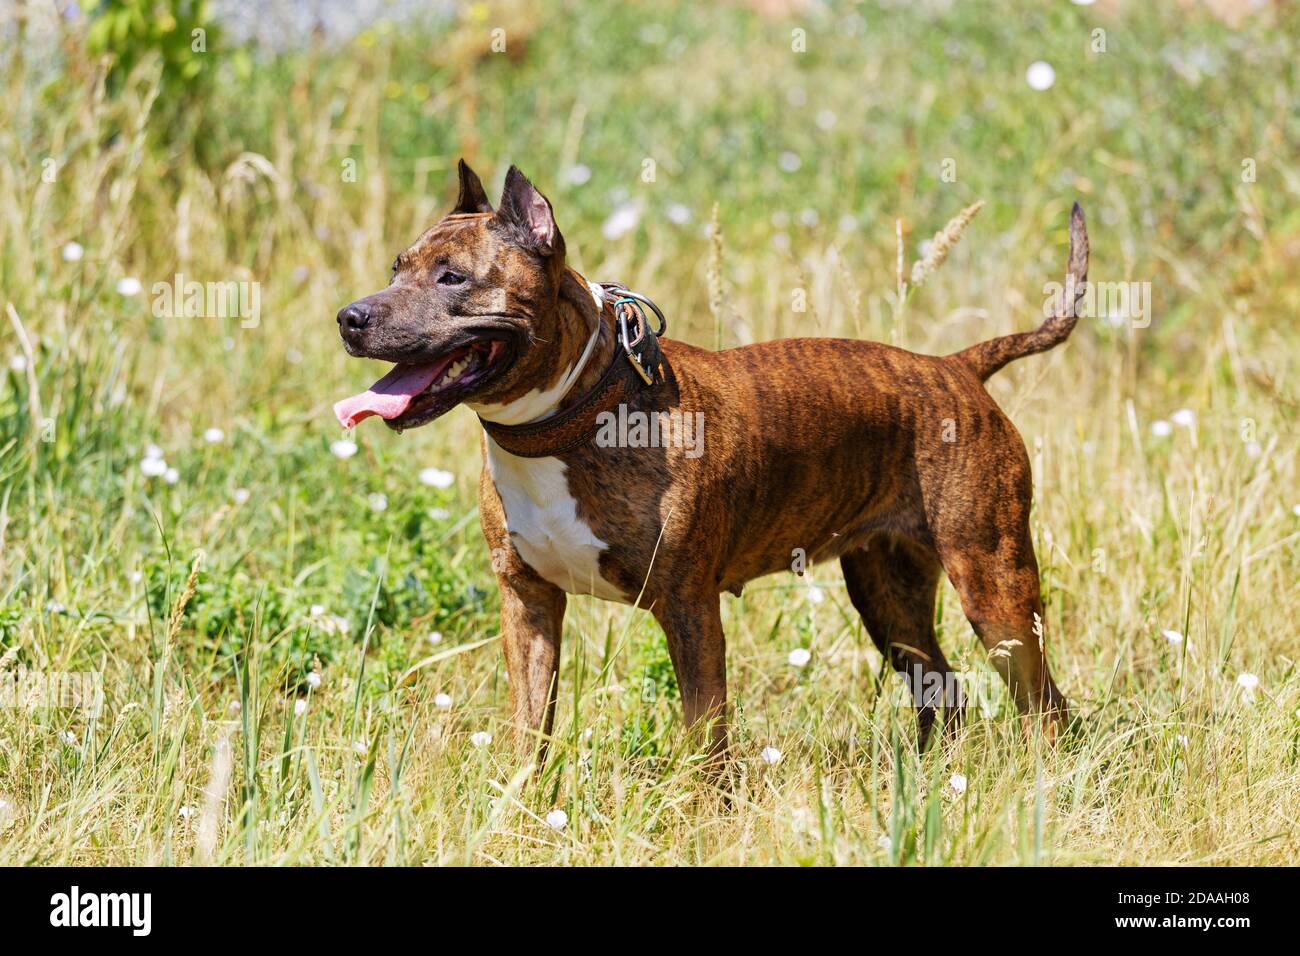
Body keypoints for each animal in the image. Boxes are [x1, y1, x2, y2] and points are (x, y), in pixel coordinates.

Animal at [332, 162, 1086, 764]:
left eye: (452, 277)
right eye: (396, 268)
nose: (351, 317)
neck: (570, 417)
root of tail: (957, 368)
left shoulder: (688, 608)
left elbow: (705, 738)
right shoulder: (529, 604)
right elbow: (529, 727)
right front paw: (519, 807)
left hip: (993, 582)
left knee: (1044, 702)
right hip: (888, 590)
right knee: (941, 687)